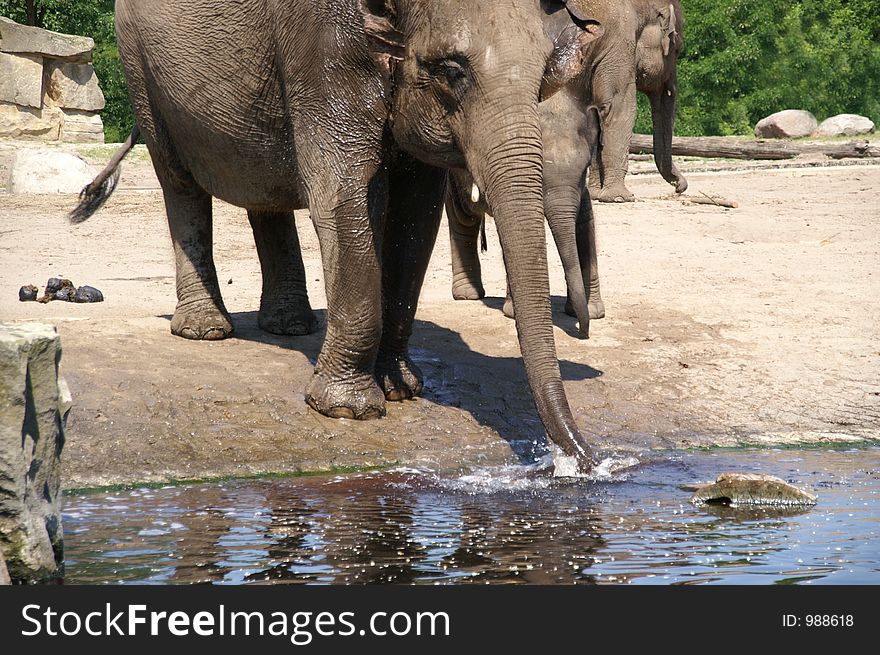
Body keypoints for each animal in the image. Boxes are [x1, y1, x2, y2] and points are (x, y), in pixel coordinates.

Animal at [72, 0, 604, 472]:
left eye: (543, 75)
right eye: (453, 70)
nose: (585, 462)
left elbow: (417, 212)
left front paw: (403, 388)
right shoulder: (323, 45)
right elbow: (341, 189)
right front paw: (349, 409)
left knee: (264, 191)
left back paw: (289, 327)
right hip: (139, 64)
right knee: (179, 182)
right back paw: (205, 330)